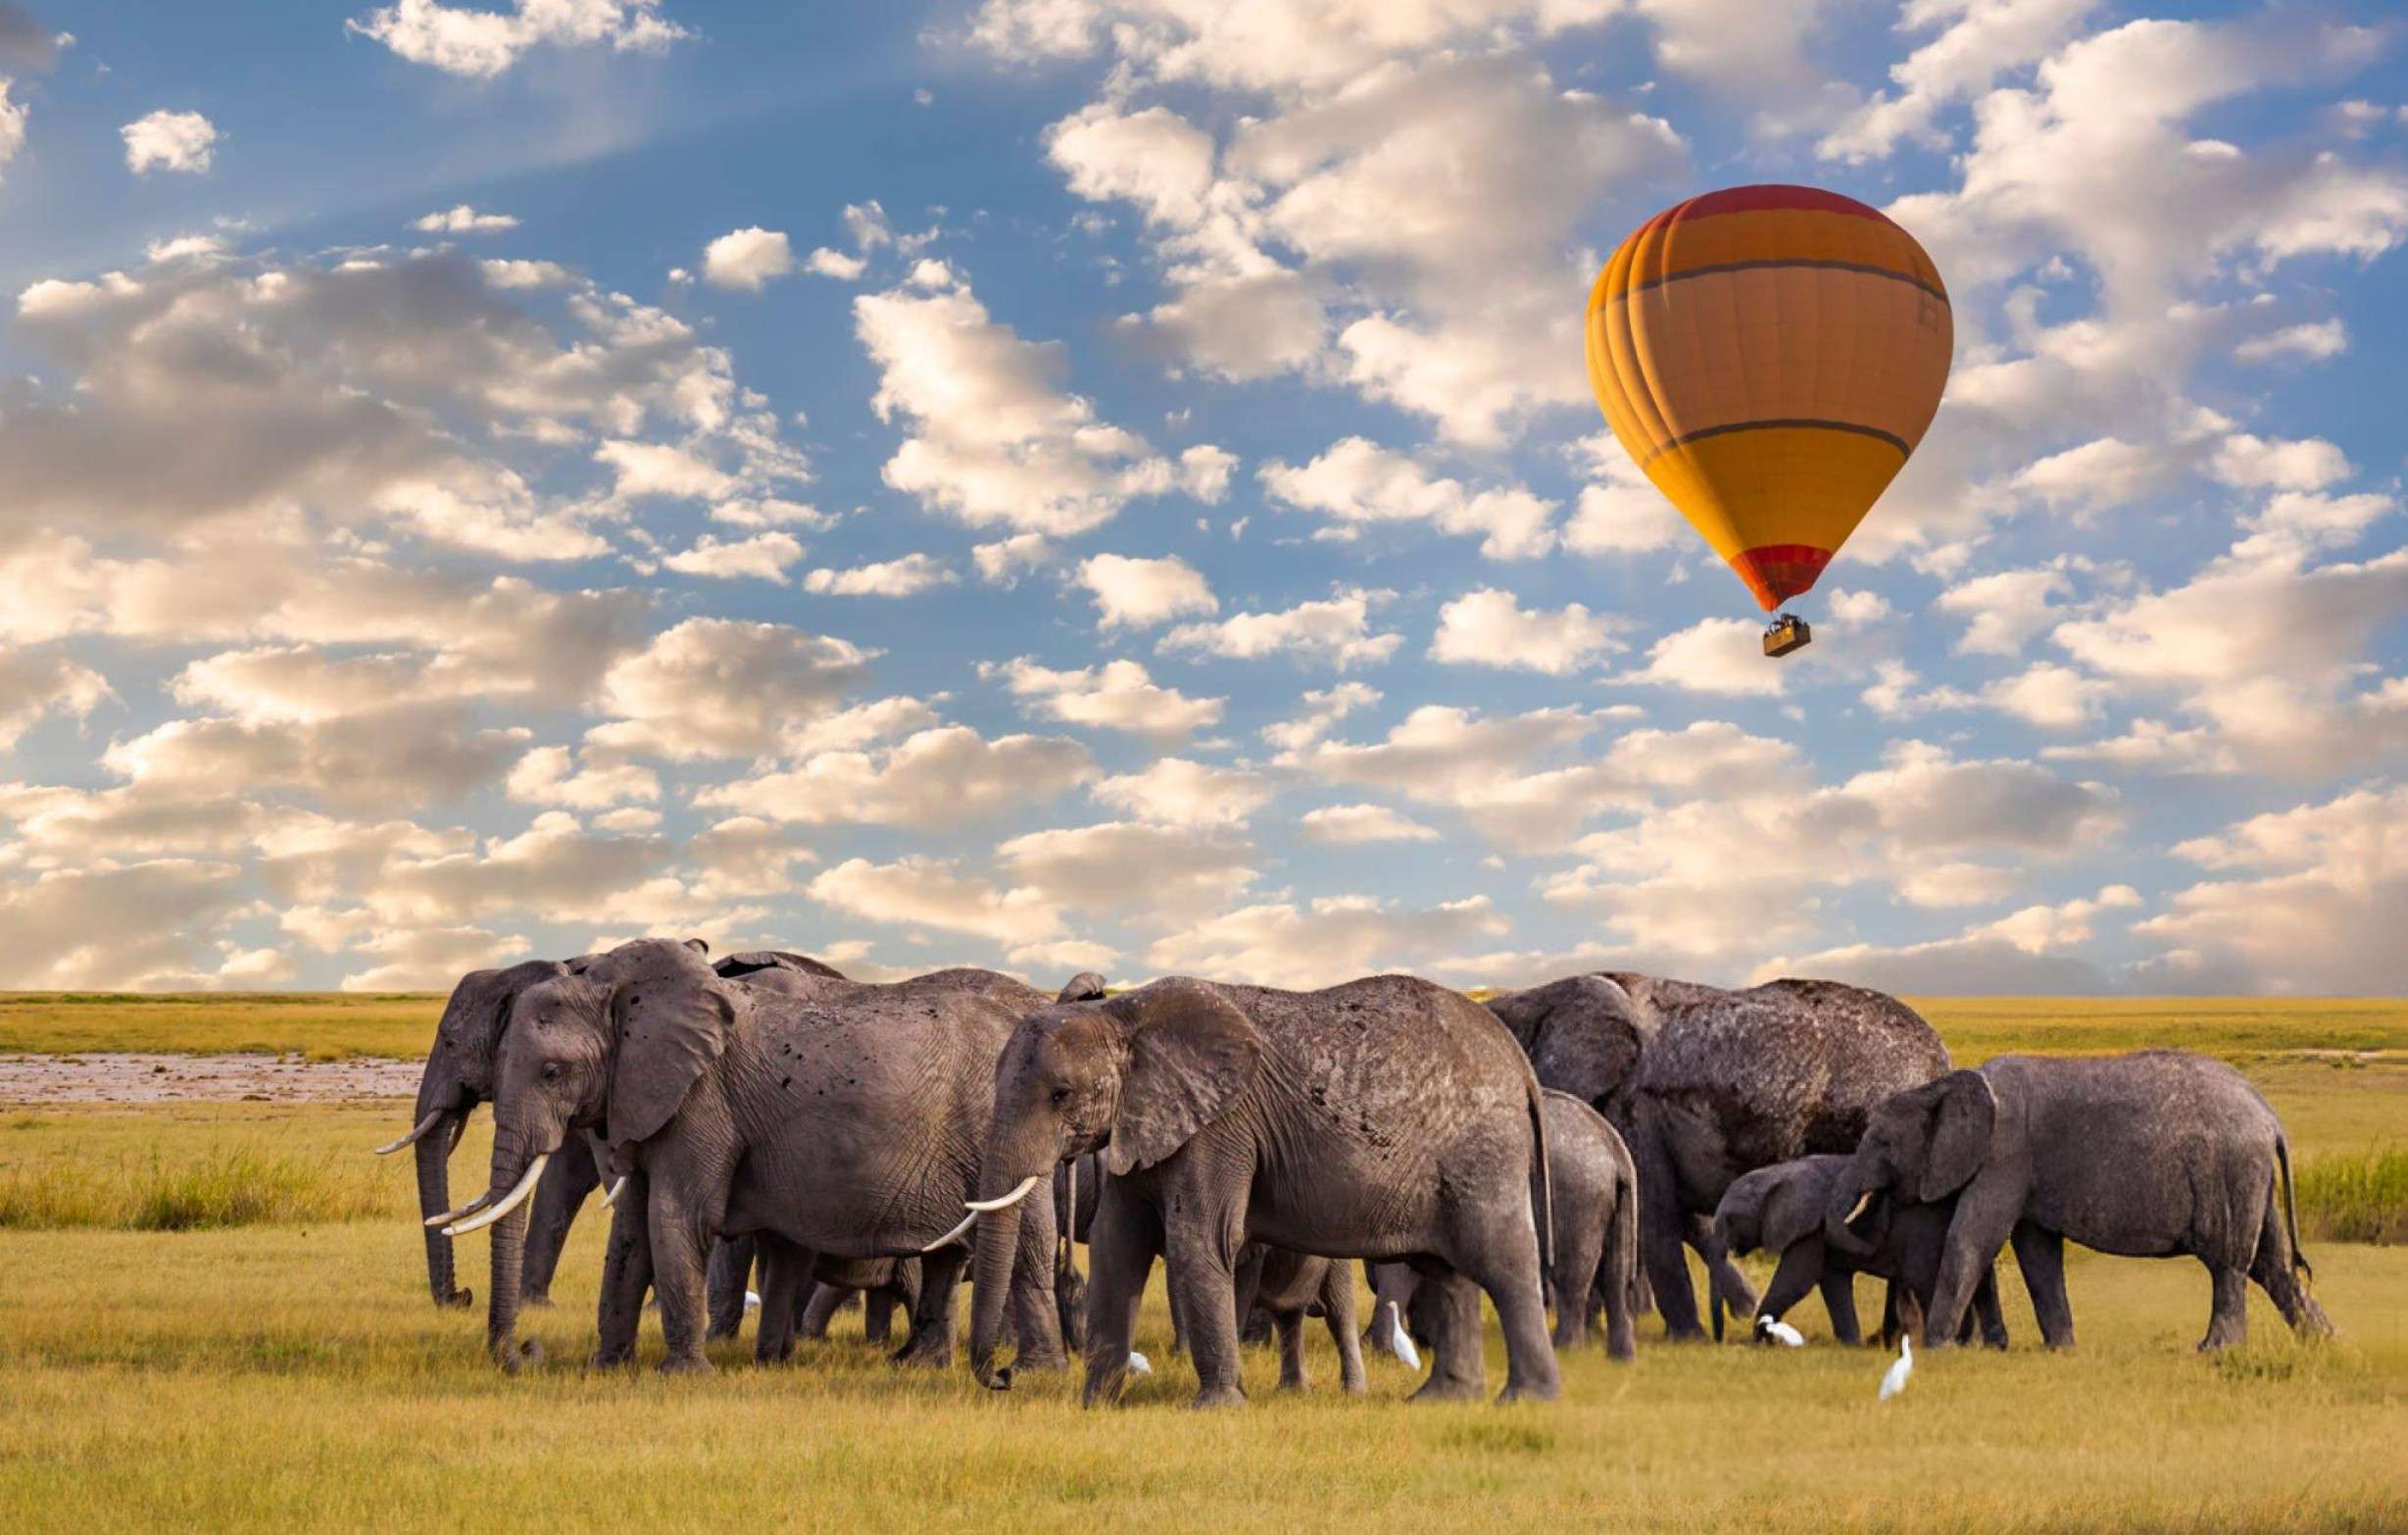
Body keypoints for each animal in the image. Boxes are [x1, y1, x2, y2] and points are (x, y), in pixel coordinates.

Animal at [441, 937, 1066, 1374]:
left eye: (552, 1072)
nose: (525, 1350)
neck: (619, 991)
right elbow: (631, 1232)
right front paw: (605, 1368)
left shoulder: (703, 1100)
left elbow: (678, 1219)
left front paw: (683, 1376)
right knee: (946, 1259)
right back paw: (920, 1366)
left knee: (1027, 1244)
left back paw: (1031, 1374)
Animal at [953, 974, 1561, 1408]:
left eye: (1060, 1094)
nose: (1002, 1376)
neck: (1125, 1016)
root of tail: (1517, 1060)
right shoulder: (1143, 1123)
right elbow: (1116, 1246)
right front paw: (1094, 1405)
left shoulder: (1221, 1125)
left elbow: (1200, 1240)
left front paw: (1217, 1408)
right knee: (1446, 1270)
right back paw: (1441, 1401)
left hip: (1483, 1148)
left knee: (1501, 1260)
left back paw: (1525, 1402)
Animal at [1485, 972, 1950, 1341]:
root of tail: (1941, 1058)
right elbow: (1688, 1221)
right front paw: (1737, 1312)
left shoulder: (1637, 1110)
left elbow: (1655, 1218)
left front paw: (1685, 1337)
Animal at [1712, 1154, 2007, 1349]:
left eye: (1731, 1219)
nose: (1719, 1342)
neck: (1778, 1173)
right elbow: (1833, 1282)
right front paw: (1851, 1345)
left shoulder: (1811, 1227)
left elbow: (1795, 1281)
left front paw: (1758, 1342)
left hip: (1925, 1235)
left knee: (1924, 1280)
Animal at [1822, 1052, 2333, 1352]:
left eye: (1882, 1142)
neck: (1944, 1085)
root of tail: (2270, 1116)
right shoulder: (2023, 1169)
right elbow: (2036, 1252)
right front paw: (2060, 1351)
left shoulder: (2006, 1154)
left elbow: (1972, 1238)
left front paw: (1937, 1350)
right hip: (2252, 1173)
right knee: (2274, 1265)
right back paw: (2327, 1344)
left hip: (2231, 1169)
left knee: (2228, 1261)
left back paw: (2216, 1350)